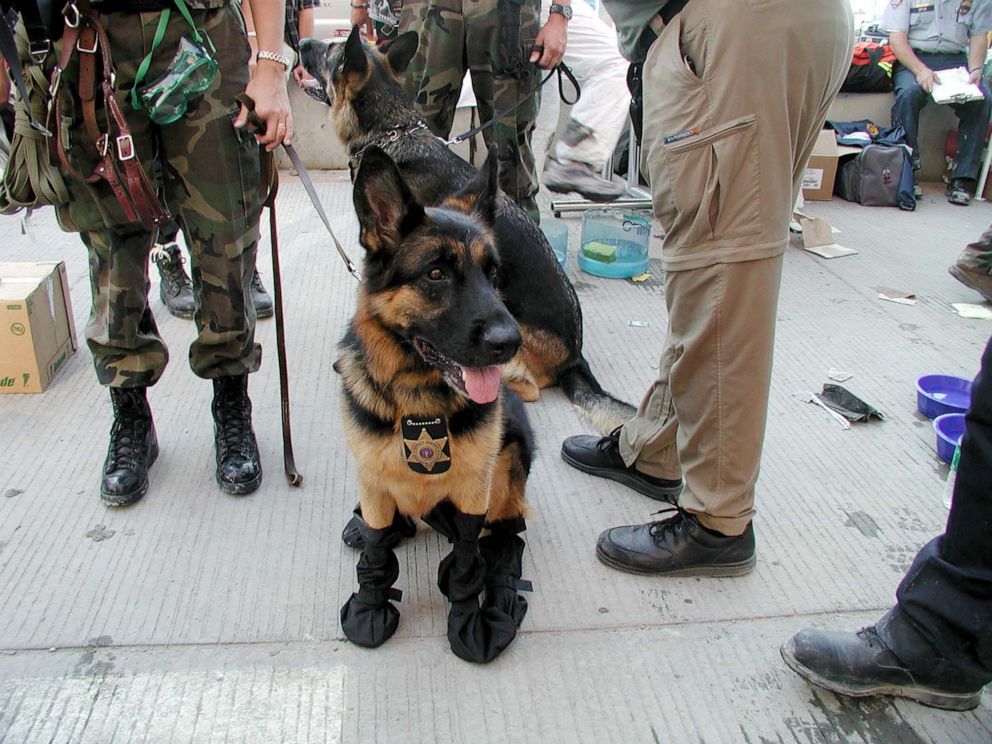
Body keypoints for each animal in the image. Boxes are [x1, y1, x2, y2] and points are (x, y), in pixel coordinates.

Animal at [336, 144, 536, 664]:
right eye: (436, 274)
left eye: (492, 274)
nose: (511, 343)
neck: (419, 402)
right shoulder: (373, 481)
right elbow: (376, 553)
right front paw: (369, 608)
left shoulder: (471, 494)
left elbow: (468, 565)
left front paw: (469, 621)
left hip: (514, 453)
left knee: (507, 533)